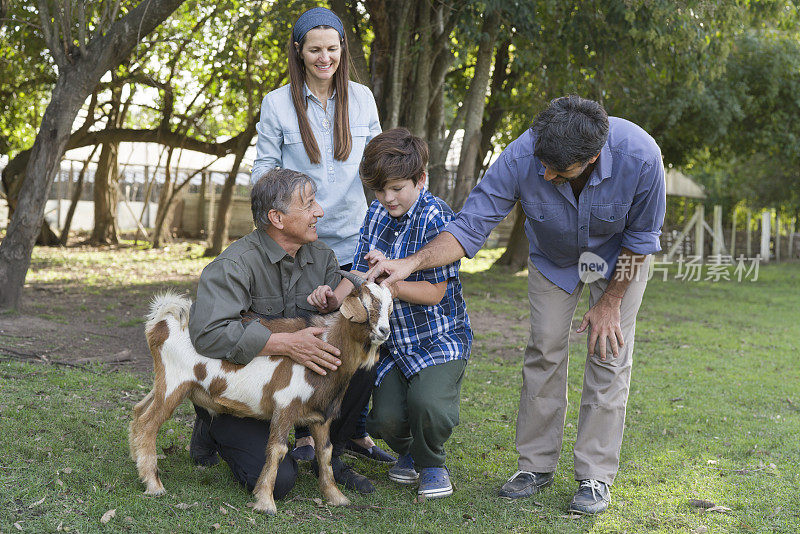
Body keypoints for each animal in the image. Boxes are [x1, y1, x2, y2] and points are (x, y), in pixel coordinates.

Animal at [128, 274, 394, 516]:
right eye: (367, 302)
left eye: (390, 306)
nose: (384, 331)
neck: (328, 341)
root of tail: (162, 321)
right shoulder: (285, 406)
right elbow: (277, 450)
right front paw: (265, 502)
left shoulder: (322, 414)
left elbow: (325, 451)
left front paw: (335, 496)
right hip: (175, 383)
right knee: (149, 423)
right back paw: (154, 485)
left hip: (163, 384)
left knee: (139, 412)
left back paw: (138, 463)